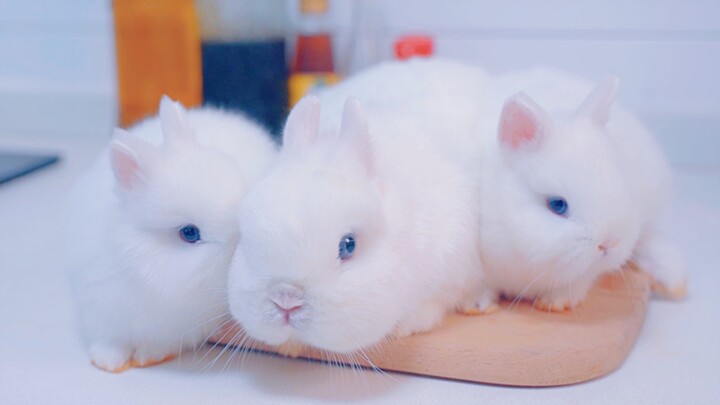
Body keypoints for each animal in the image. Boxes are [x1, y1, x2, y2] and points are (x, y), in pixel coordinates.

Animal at [66, 96, 277, 372]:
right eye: (189, 233)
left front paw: (147, 357)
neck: (142, 271)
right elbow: (111, 340)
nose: (239, 244)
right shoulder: (101, 308)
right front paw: (108, 362)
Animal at [473, 68, 687, 311]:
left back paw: (675, 285)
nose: (609, 243)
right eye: (557, 204)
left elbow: (578, 283)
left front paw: (554, 303)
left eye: (622, 181)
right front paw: (479, 305)